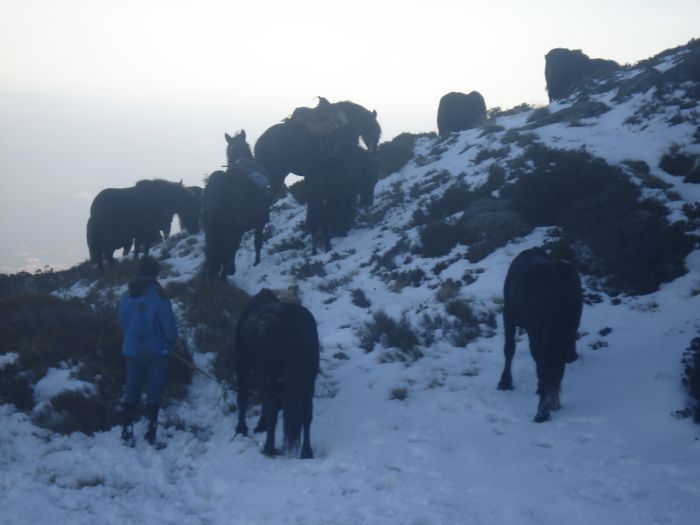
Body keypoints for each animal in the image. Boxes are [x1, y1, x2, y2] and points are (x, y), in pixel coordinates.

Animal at [237, 288, 322, 456]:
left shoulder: (242, 366)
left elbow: (243, 398)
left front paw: (241, 429)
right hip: (309, 378)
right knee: (306, 412)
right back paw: (306, 452)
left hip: (269, 374)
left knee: (272, 408)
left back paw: (268, 448)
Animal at [498, 248, 584, 424]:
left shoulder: (508, 315)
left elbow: (509, 348)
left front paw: (505, 382)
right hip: (567, 328)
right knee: (555, 364)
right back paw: (551, 402)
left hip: (540, 330)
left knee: (545, 364)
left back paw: (542, 411)